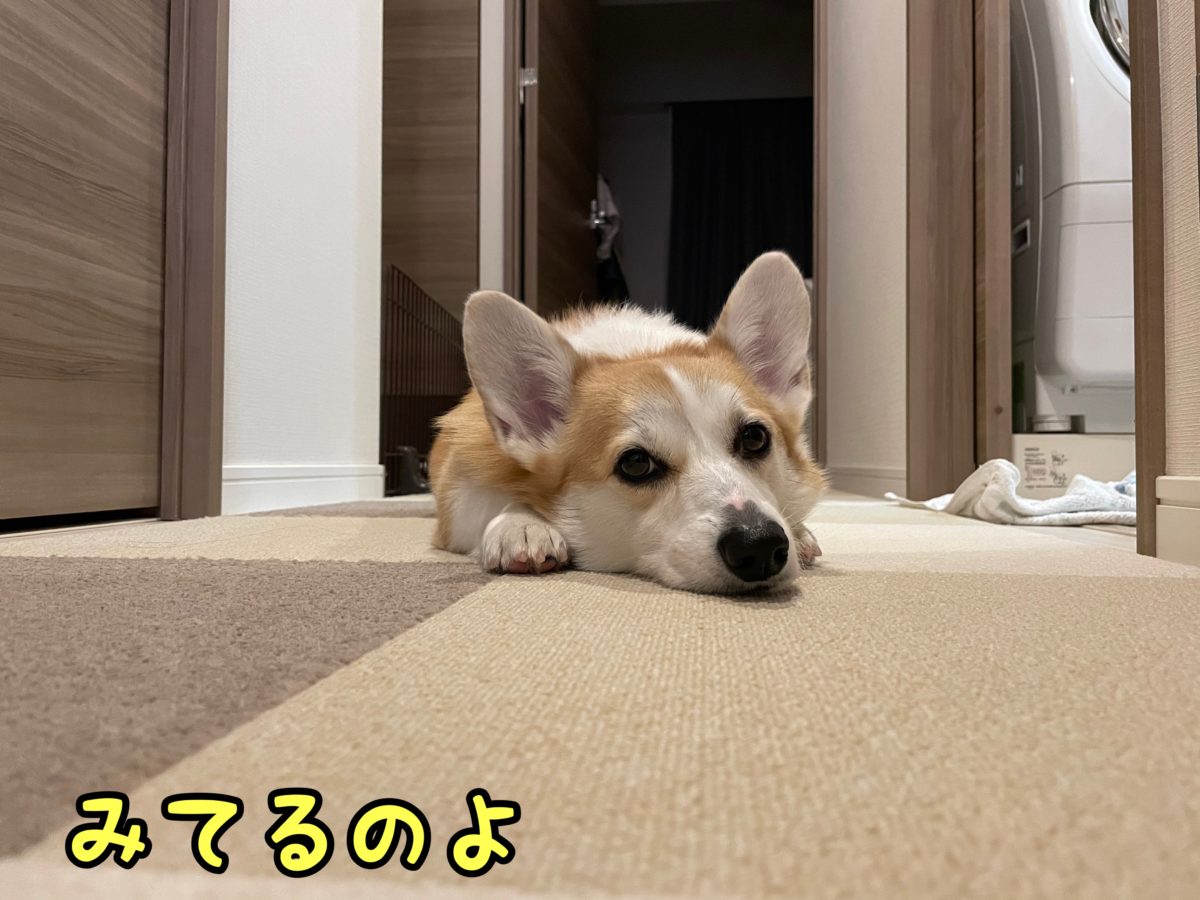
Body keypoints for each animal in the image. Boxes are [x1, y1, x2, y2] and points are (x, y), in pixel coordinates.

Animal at [429, 251, 827, 594]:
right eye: (636, 464)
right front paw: (522, 524)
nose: (759, 545)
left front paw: (799, 531)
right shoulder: (459, 491)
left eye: (755, 438)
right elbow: (494, 500)